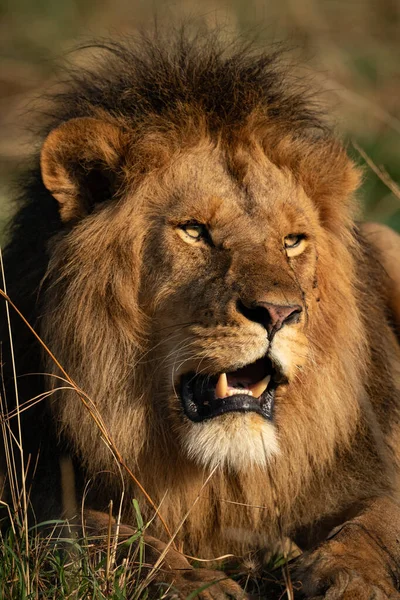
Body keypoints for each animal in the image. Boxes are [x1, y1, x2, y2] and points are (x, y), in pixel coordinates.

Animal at [2, 32, 400, 600]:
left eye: (293, 241)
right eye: (194, 231)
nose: (279, 312)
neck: (222, 473)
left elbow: (378, 519)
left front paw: (349, 576)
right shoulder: (31, 487)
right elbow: (97, 532)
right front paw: (192, 582)